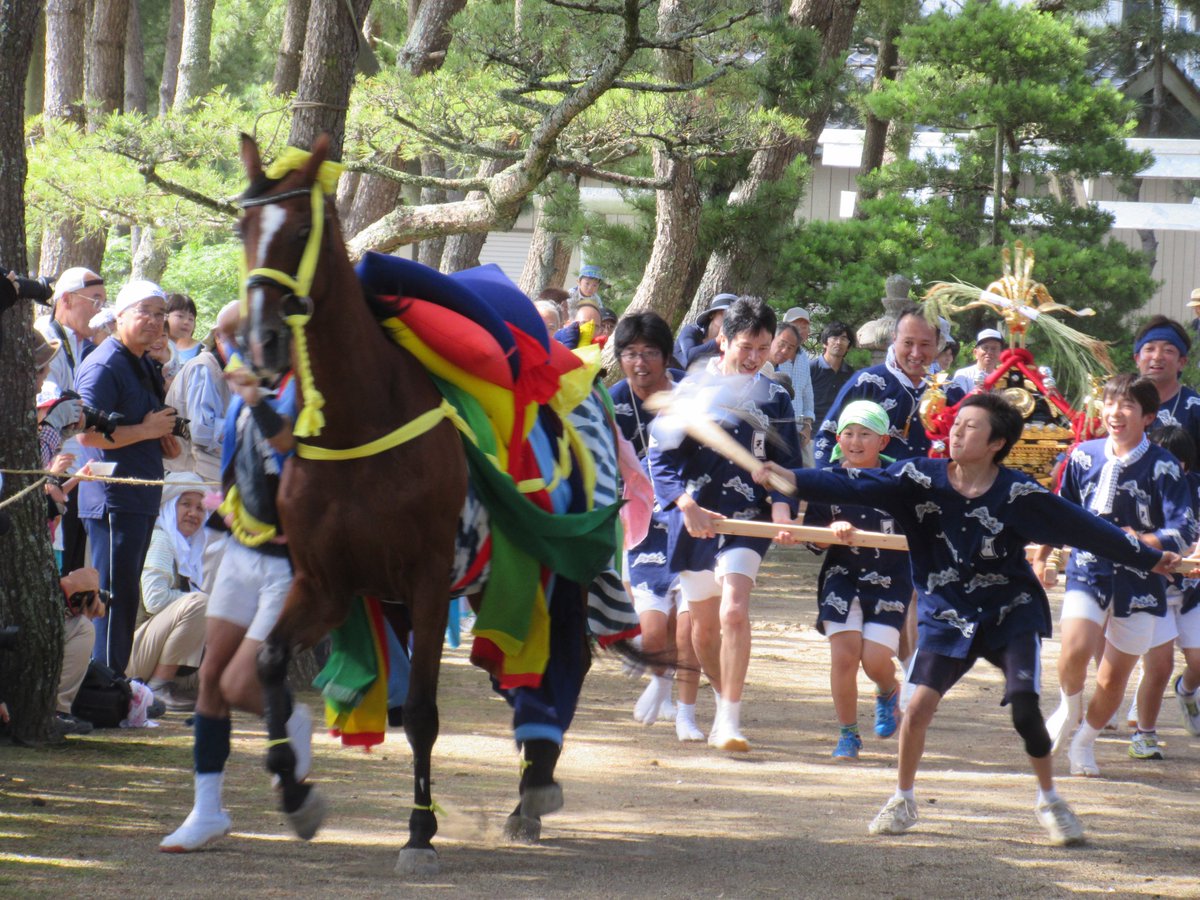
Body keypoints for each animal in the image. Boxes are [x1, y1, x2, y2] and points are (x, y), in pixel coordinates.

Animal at [235, 134, 629, 874]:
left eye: (299, 231)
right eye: (243, 229)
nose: (263, 343)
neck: (358, 425)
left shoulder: (423, 578)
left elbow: (420, 711)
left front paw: (419, 832)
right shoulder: (328, 582)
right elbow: (270, 663)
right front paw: (296, 796)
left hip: (552, 567)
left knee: (565, 662)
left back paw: (534, 784)